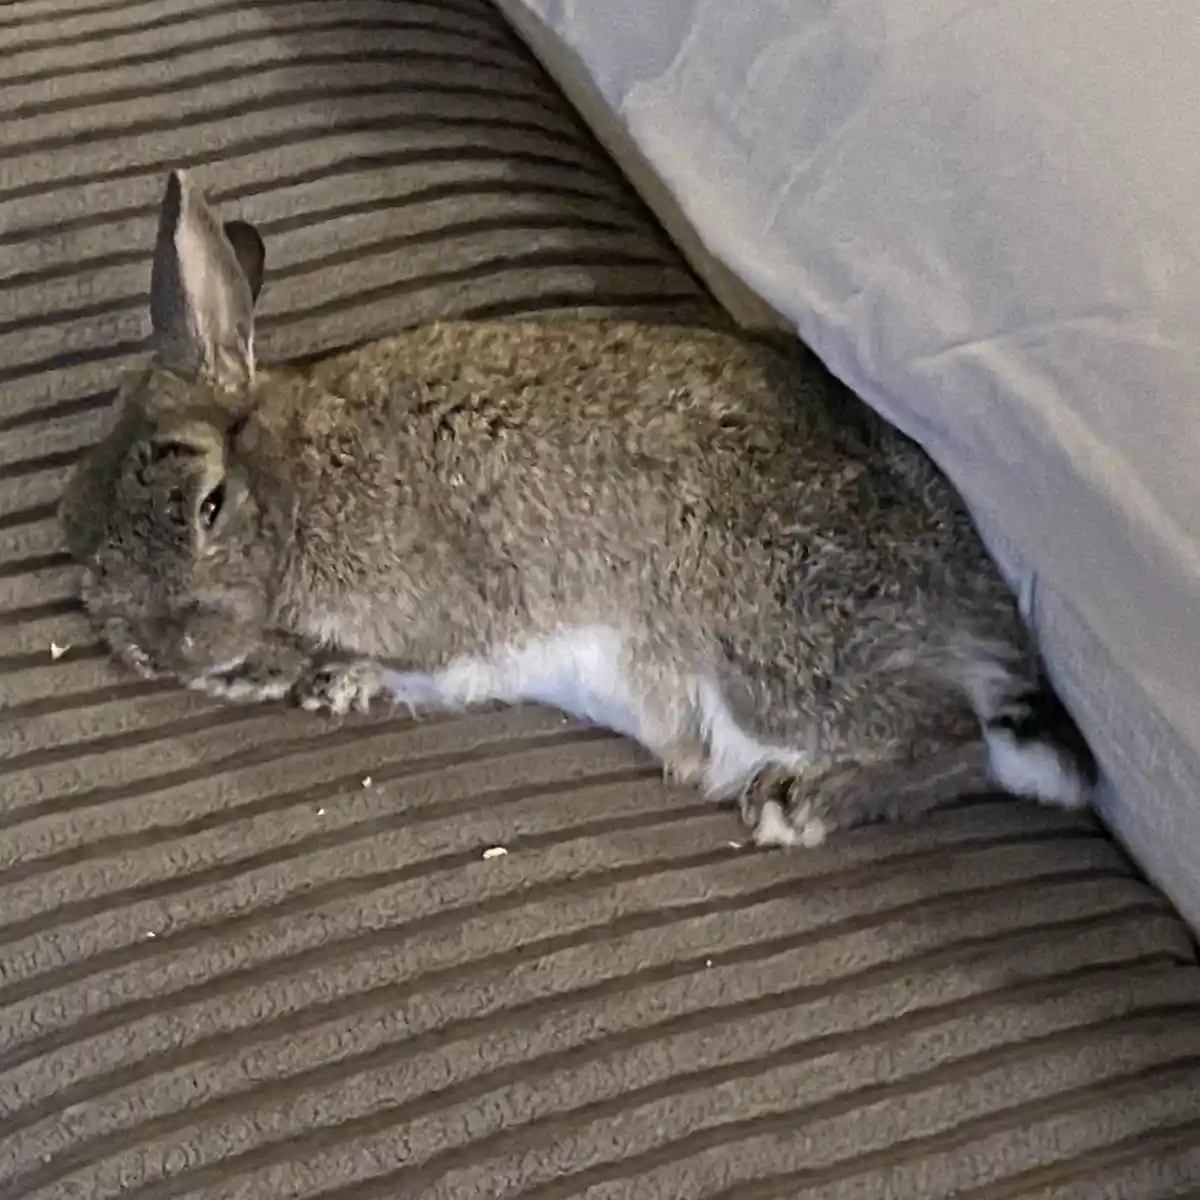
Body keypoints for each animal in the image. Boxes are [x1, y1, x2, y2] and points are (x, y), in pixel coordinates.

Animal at [59, 169, 1098, 848]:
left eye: (209, 504)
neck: (293, 476)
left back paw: (802, 805)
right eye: (79, 548)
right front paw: (320, 685)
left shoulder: (427, 608)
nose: (161, 649)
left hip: (782, 655)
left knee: (956, 739)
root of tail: (985, 611)